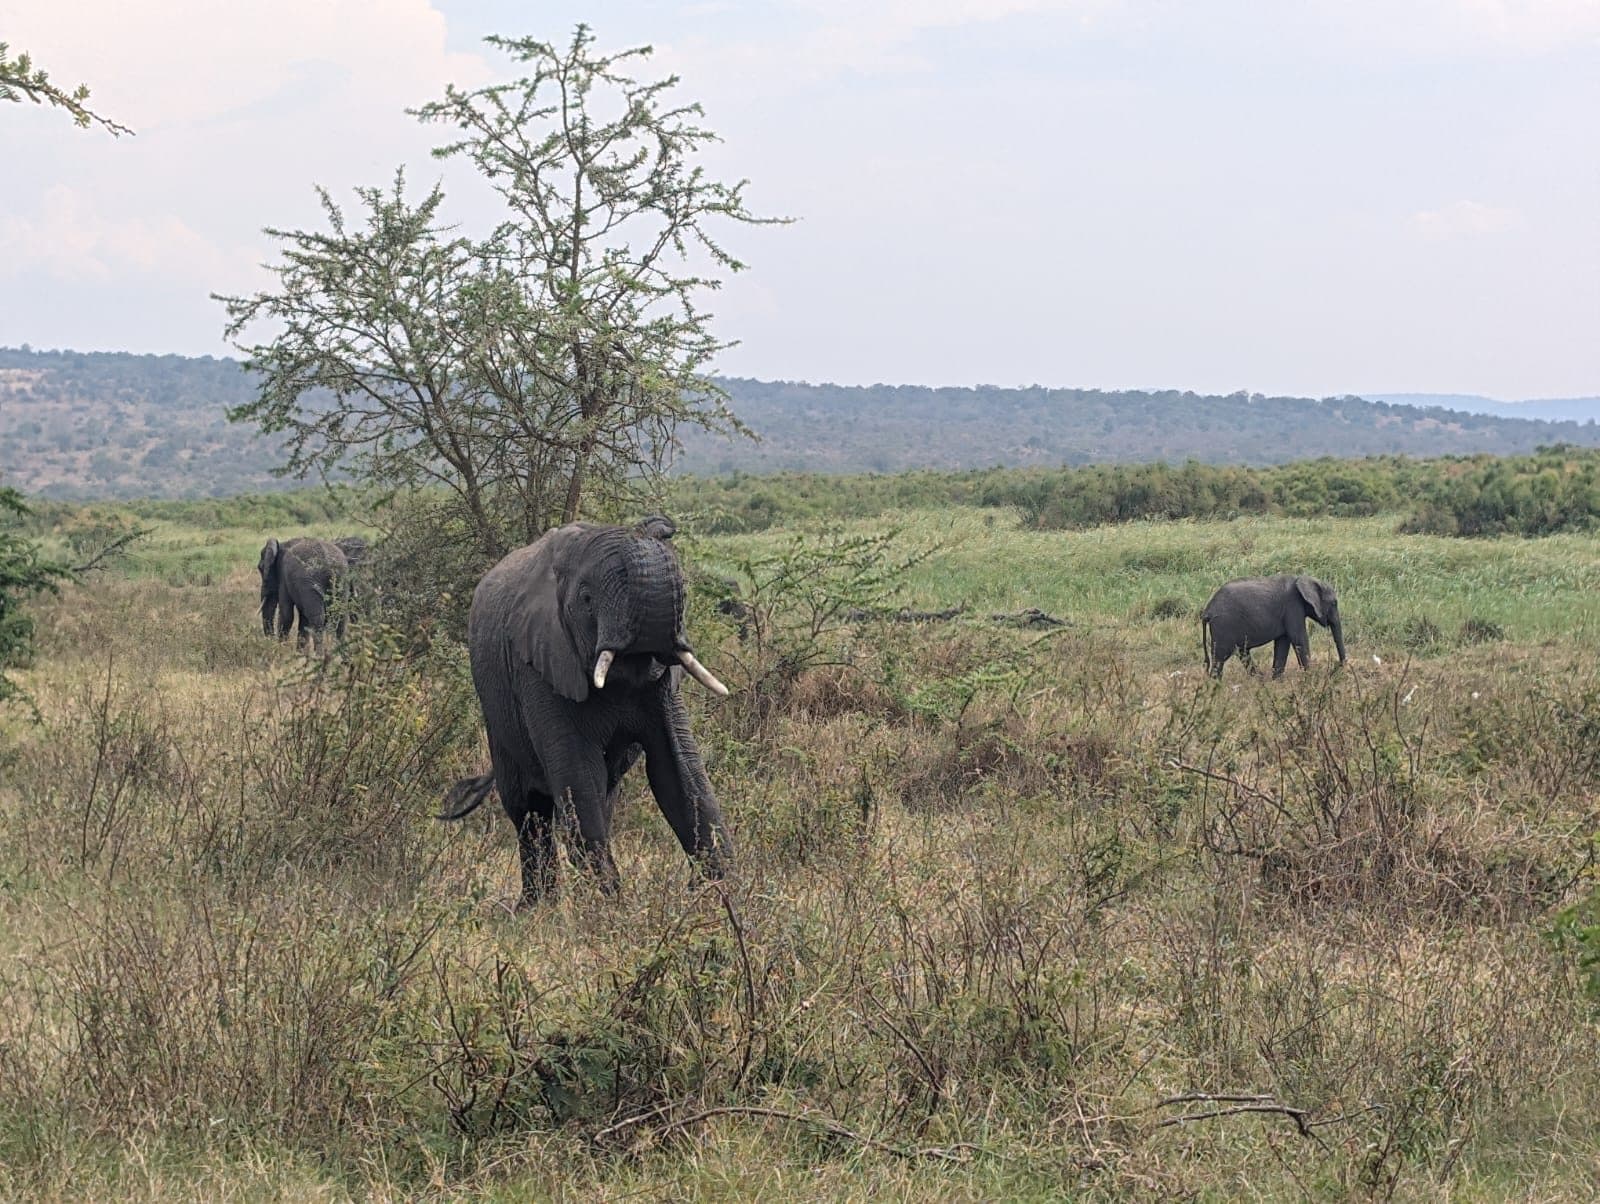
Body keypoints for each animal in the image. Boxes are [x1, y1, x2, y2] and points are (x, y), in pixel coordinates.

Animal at [440, 516, 734, 903]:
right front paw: (609, 909)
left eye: (684, 595)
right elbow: (579, 776)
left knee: (601, 796)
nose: (661, 526)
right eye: (587, 599)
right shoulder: (539, 663)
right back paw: (538, 908)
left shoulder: (663, 686)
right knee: (527, 810)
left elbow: (678, 771)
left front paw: (726, 901)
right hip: (495, 710)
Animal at [1202, 574, 1347, 678]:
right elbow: (1299, 639)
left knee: (1243, 652)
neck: (1303, 578)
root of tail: (1207, 610)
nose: (1337, 668)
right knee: (1220, 658)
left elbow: (1283, 643)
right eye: (1334, 603)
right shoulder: (1293, 607)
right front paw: (1310, 677)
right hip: (1223, 626)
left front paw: (1277, 682)